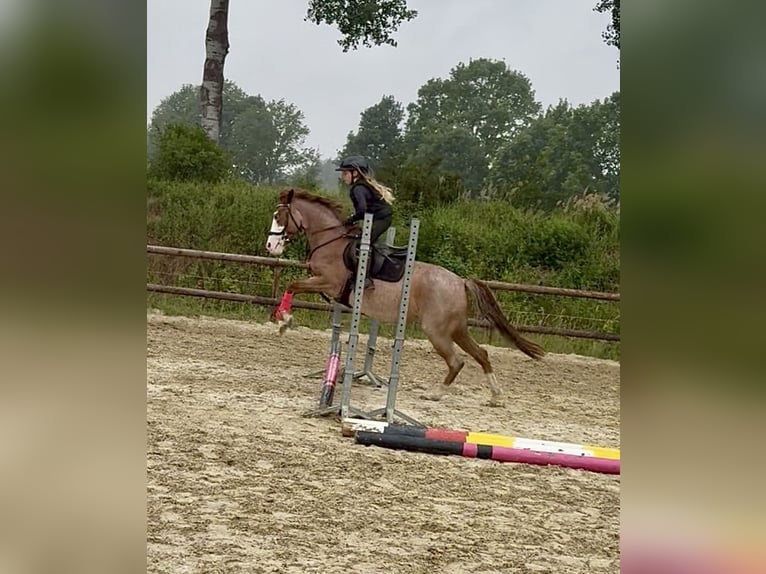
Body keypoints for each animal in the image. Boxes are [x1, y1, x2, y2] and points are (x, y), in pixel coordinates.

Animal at [265, 188, 545, 406]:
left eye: (278, 216)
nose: (270, 247)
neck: (330, 240)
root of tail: (459, 281)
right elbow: (293, 286)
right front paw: (282, 320)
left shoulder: (328, 282)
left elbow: (292, 285)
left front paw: (284, 320)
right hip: (457, 329)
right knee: (481, 354)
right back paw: (496, 396)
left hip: (437, 331)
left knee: (457, 361)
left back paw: (435, 394)